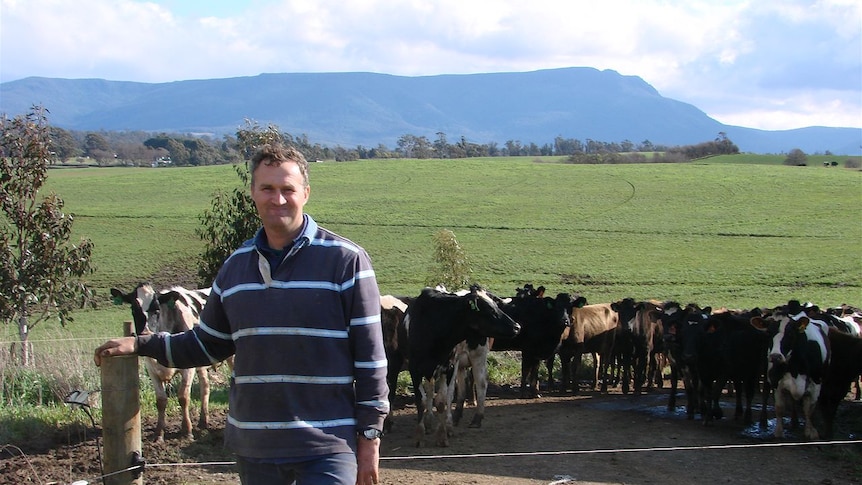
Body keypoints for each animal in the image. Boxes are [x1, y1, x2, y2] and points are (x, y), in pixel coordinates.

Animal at [112, 282, 213, 440]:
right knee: (205, 385)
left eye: (157, 309)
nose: (145, 333)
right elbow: (160, 400)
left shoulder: (188, 368)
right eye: (133, 309)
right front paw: (159, 433)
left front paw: (187, 431)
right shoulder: (151, 368)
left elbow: (183, 397)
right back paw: (203, 421)